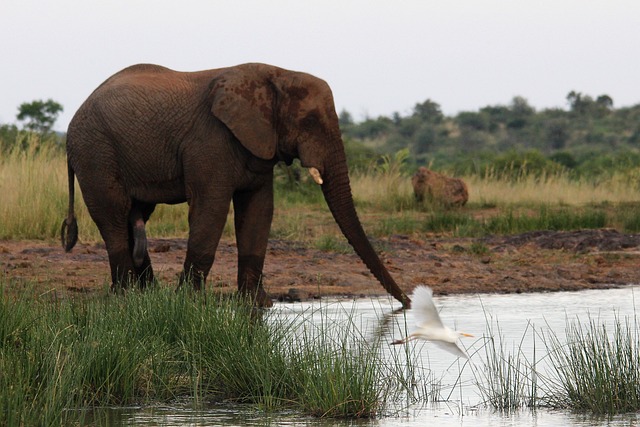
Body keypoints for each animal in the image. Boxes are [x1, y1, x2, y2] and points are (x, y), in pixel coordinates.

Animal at [60, 62, 410, 308]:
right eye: (309, 121)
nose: (407, 303)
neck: (276, 74)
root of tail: (71, 123)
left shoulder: (258, 143)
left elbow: (258, 210)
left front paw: (258, 306)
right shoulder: (210, 141)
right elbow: (211, 208)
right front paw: (189, 303)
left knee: (137, 215)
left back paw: (148, 296)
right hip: (95, 152)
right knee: (115, 215)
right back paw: (127, 297)